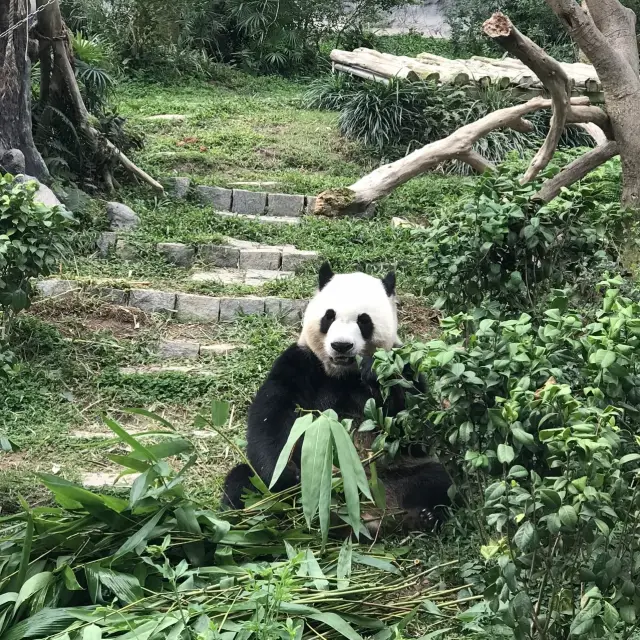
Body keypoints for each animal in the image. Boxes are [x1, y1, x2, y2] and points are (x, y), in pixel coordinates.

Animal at [222, 262, 452, 532]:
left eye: (364, 320)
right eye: (329, 316)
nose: (341, 345)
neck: (343, 373)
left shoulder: (403, 364)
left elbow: (415, 431)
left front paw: (375, 371)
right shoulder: (301, 363)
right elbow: (272, 417)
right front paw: (286, 474)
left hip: (397, 472)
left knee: (438, 480)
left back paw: (424, 516)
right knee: (242, 484)